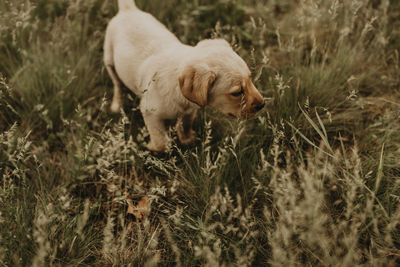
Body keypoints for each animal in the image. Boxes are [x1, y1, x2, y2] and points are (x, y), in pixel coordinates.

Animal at [104, 0, 266, 152]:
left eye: (250, 79)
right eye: (237, 93)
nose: (262, 105)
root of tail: (128, 9)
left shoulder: (191, 107)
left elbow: (186, 122)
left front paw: (186, 138)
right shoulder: (149, 112)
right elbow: (161, 142)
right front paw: (151, 147)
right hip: (109, 62)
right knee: (117, 84)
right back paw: (116, 104)